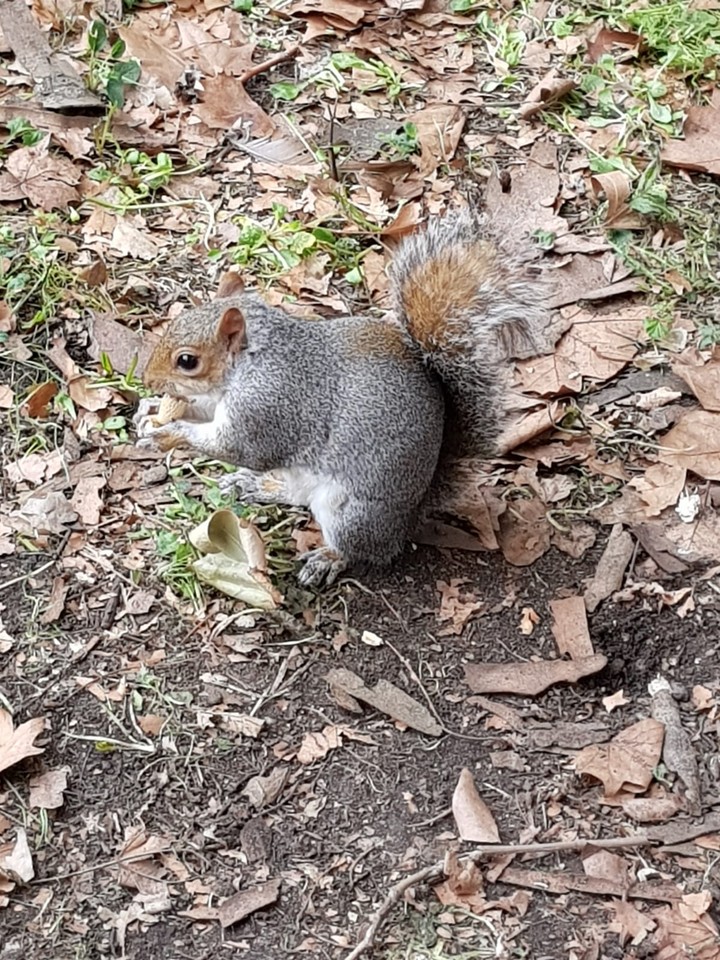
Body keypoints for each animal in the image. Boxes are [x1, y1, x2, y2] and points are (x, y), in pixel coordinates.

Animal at [135, 208, 549, 587]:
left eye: (187, 361)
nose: (148, 379)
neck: (252, 361)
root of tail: (412, 511)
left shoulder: (268, 407)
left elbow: (239, 447)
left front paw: (170, 433)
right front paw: (150, 411)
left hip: (353, 513)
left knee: (365, 550)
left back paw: (328, 558)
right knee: (296, 496)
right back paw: (258, 487)